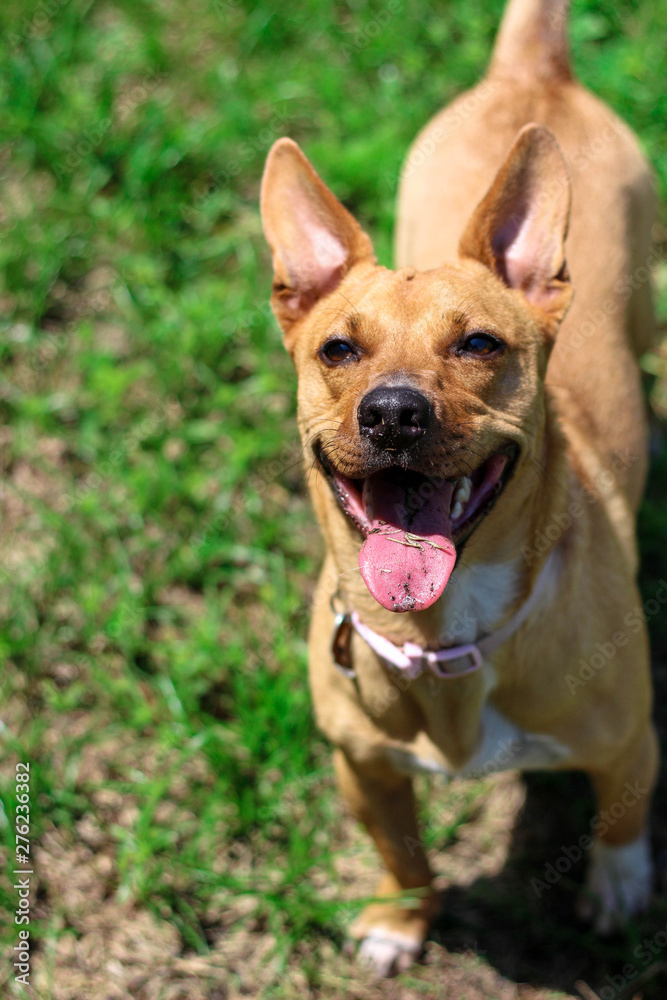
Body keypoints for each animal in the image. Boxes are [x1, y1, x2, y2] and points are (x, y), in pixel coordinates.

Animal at [260, 0, 656, 976]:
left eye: (479, 343)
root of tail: (532, 71)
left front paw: (617, 889)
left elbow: (621, 820)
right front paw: (401, 921)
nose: (393, 413)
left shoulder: (630, 741)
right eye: (337, 350)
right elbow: (401, 851)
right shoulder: (360, 769)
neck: (442, 638)